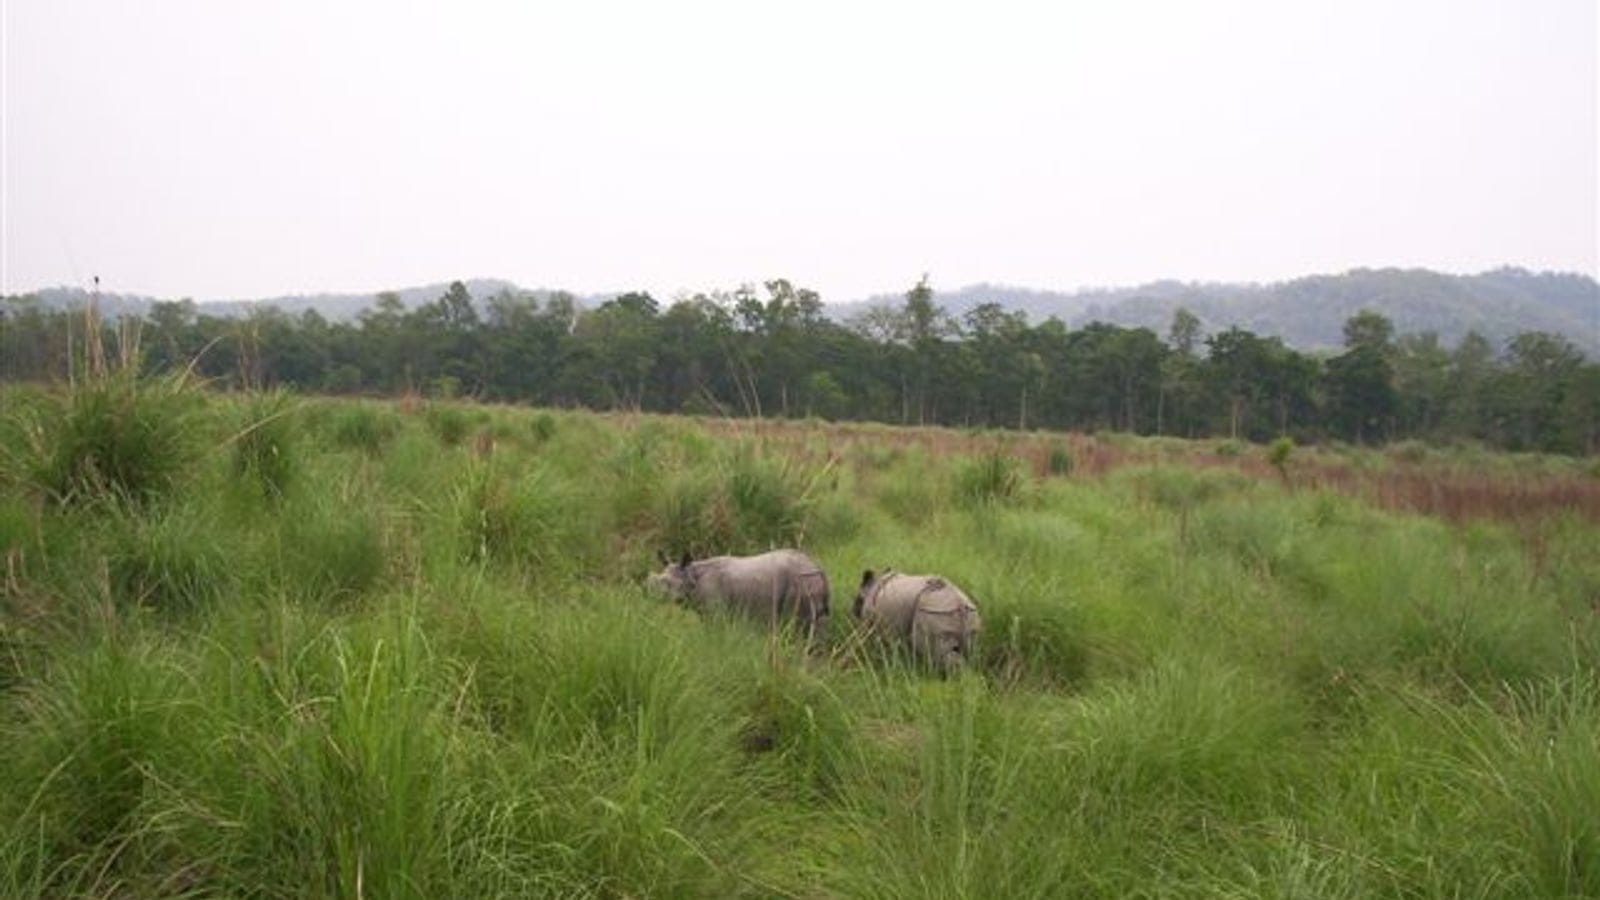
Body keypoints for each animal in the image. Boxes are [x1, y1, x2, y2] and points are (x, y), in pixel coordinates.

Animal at [647, 549, 830, 639]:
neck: (691, 575)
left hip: (802, 582)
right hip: (809, 580)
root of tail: (818, 566)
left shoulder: (716, 612)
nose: (649, 594)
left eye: (668, 584)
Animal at [852, 570, 981, 671]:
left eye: (858, 600)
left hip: (935, 612)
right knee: (969, 652)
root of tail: (959, 604)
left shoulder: (872, 623)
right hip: (968, 613)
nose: (853, 611)